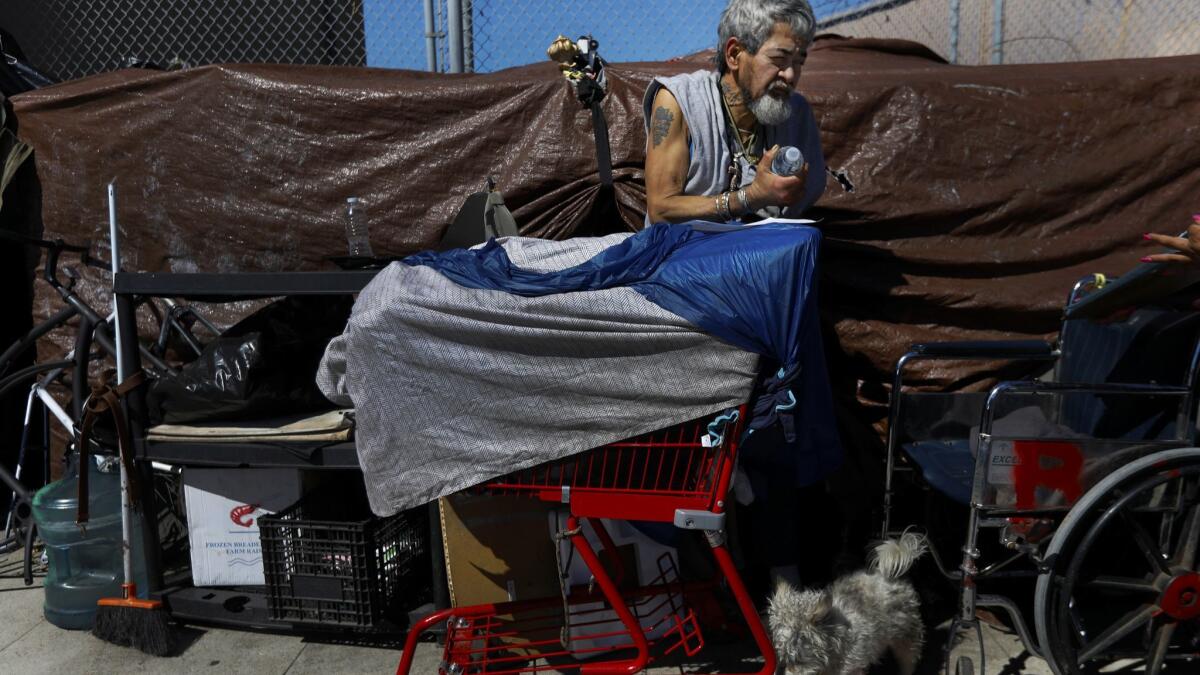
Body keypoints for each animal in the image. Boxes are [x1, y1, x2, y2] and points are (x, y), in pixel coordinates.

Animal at [768, 530, 926, 672]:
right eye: (781, 659)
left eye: (798, 662)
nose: (781, 669)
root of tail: (889, 576)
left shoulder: (853, 667)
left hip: (906, 638)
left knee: (908, 660)